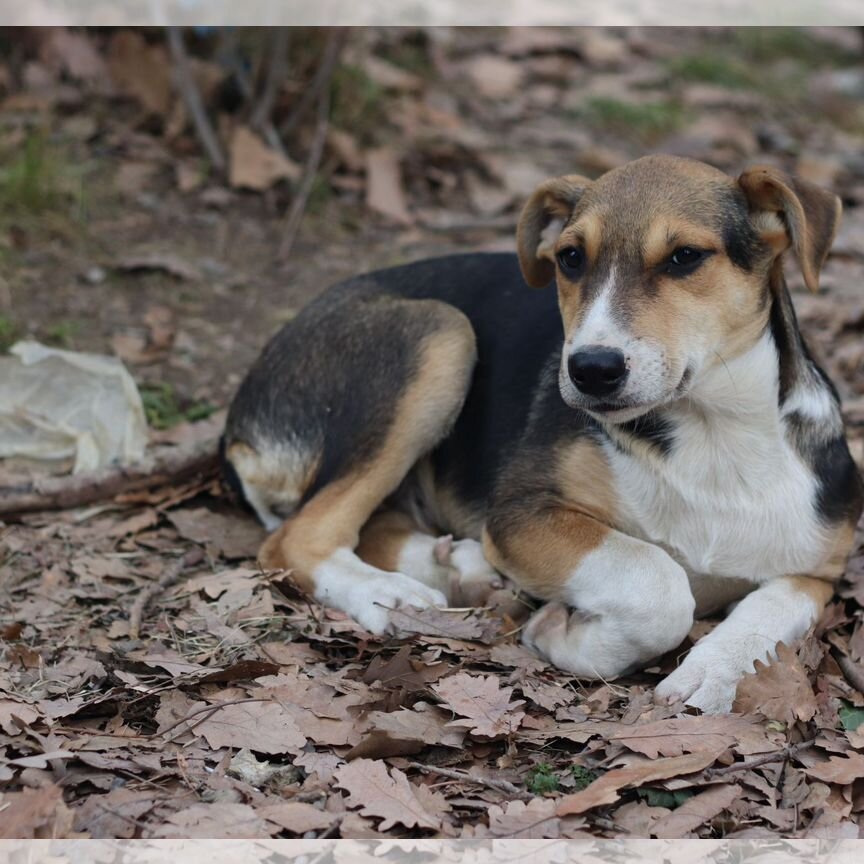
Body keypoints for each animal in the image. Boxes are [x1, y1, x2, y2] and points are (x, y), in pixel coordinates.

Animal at [224, 157, 864, 716]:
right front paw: (567, 638)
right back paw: (395, 596)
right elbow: (658, 580)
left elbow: (764, 612)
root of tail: (238, 420)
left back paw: (460, 568)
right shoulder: (521, 510)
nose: (591, 369)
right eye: (571, 258)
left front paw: (713, 673)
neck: (711, 435)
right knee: (299, 537)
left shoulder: (816, 573)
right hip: (440, 333)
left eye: (685, 257)